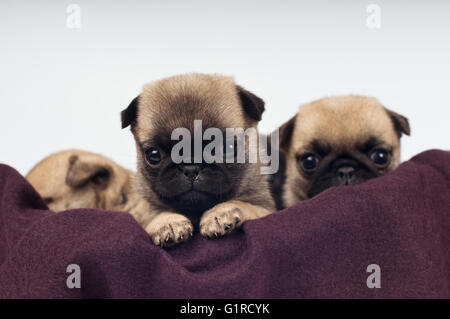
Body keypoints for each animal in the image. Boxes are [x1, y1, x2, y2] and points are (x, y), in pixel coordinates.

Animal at [121, 72, 274, 248]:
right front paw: (167, 222)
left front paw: (221, 212)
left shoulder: (266, 209)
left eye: (228, 148)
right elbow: (154, 215)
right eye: (154, 155)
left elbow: (244, 204)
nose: (191, 167)